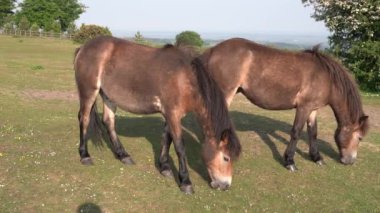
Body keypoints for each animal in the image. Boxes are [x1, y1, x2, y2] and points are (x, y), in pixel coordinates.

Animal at [74, 36, 240, 193]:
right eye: (226, 157)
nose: (225, 185)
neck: (184, 78)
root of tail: (83, 48)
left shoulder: (170, 115)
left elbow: (167, 139)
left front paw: (165, 167)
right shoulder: (173, 114)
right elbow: (179, 146)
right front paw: (185, 182)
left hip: (108, 96)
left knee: (108, 121)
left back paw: (123, 155)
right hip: (89, 91)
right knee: (84, 118)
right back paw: (84, 155)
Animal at [199, 37, 368, 171]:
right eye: (360, 138)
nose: (350, 161)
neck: (326, 77)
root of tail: (213, 50)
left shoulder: (313, 109)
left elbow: (313, 132)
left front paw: (316, 157)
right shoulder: (304, 108)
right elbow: (296, 132)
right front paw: (289, 162)